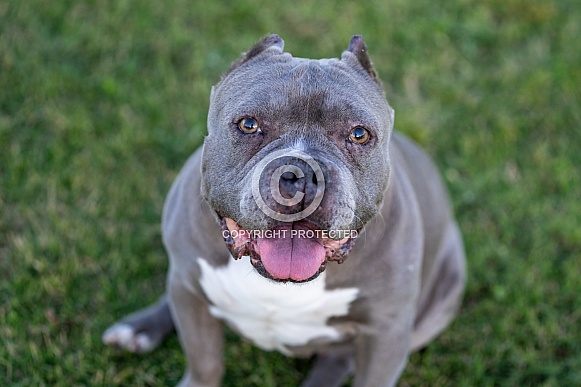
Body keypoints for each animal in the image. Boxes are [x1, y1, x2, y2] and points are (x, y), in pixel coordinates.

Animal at [103, 34, 466, 386]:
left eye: (359, 134)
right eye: (249, 124)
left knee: (338, 358)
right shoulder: (191, 301)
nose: (303, 174)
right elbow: (204, 363)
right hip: (183, 279)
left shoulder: (386, 332)